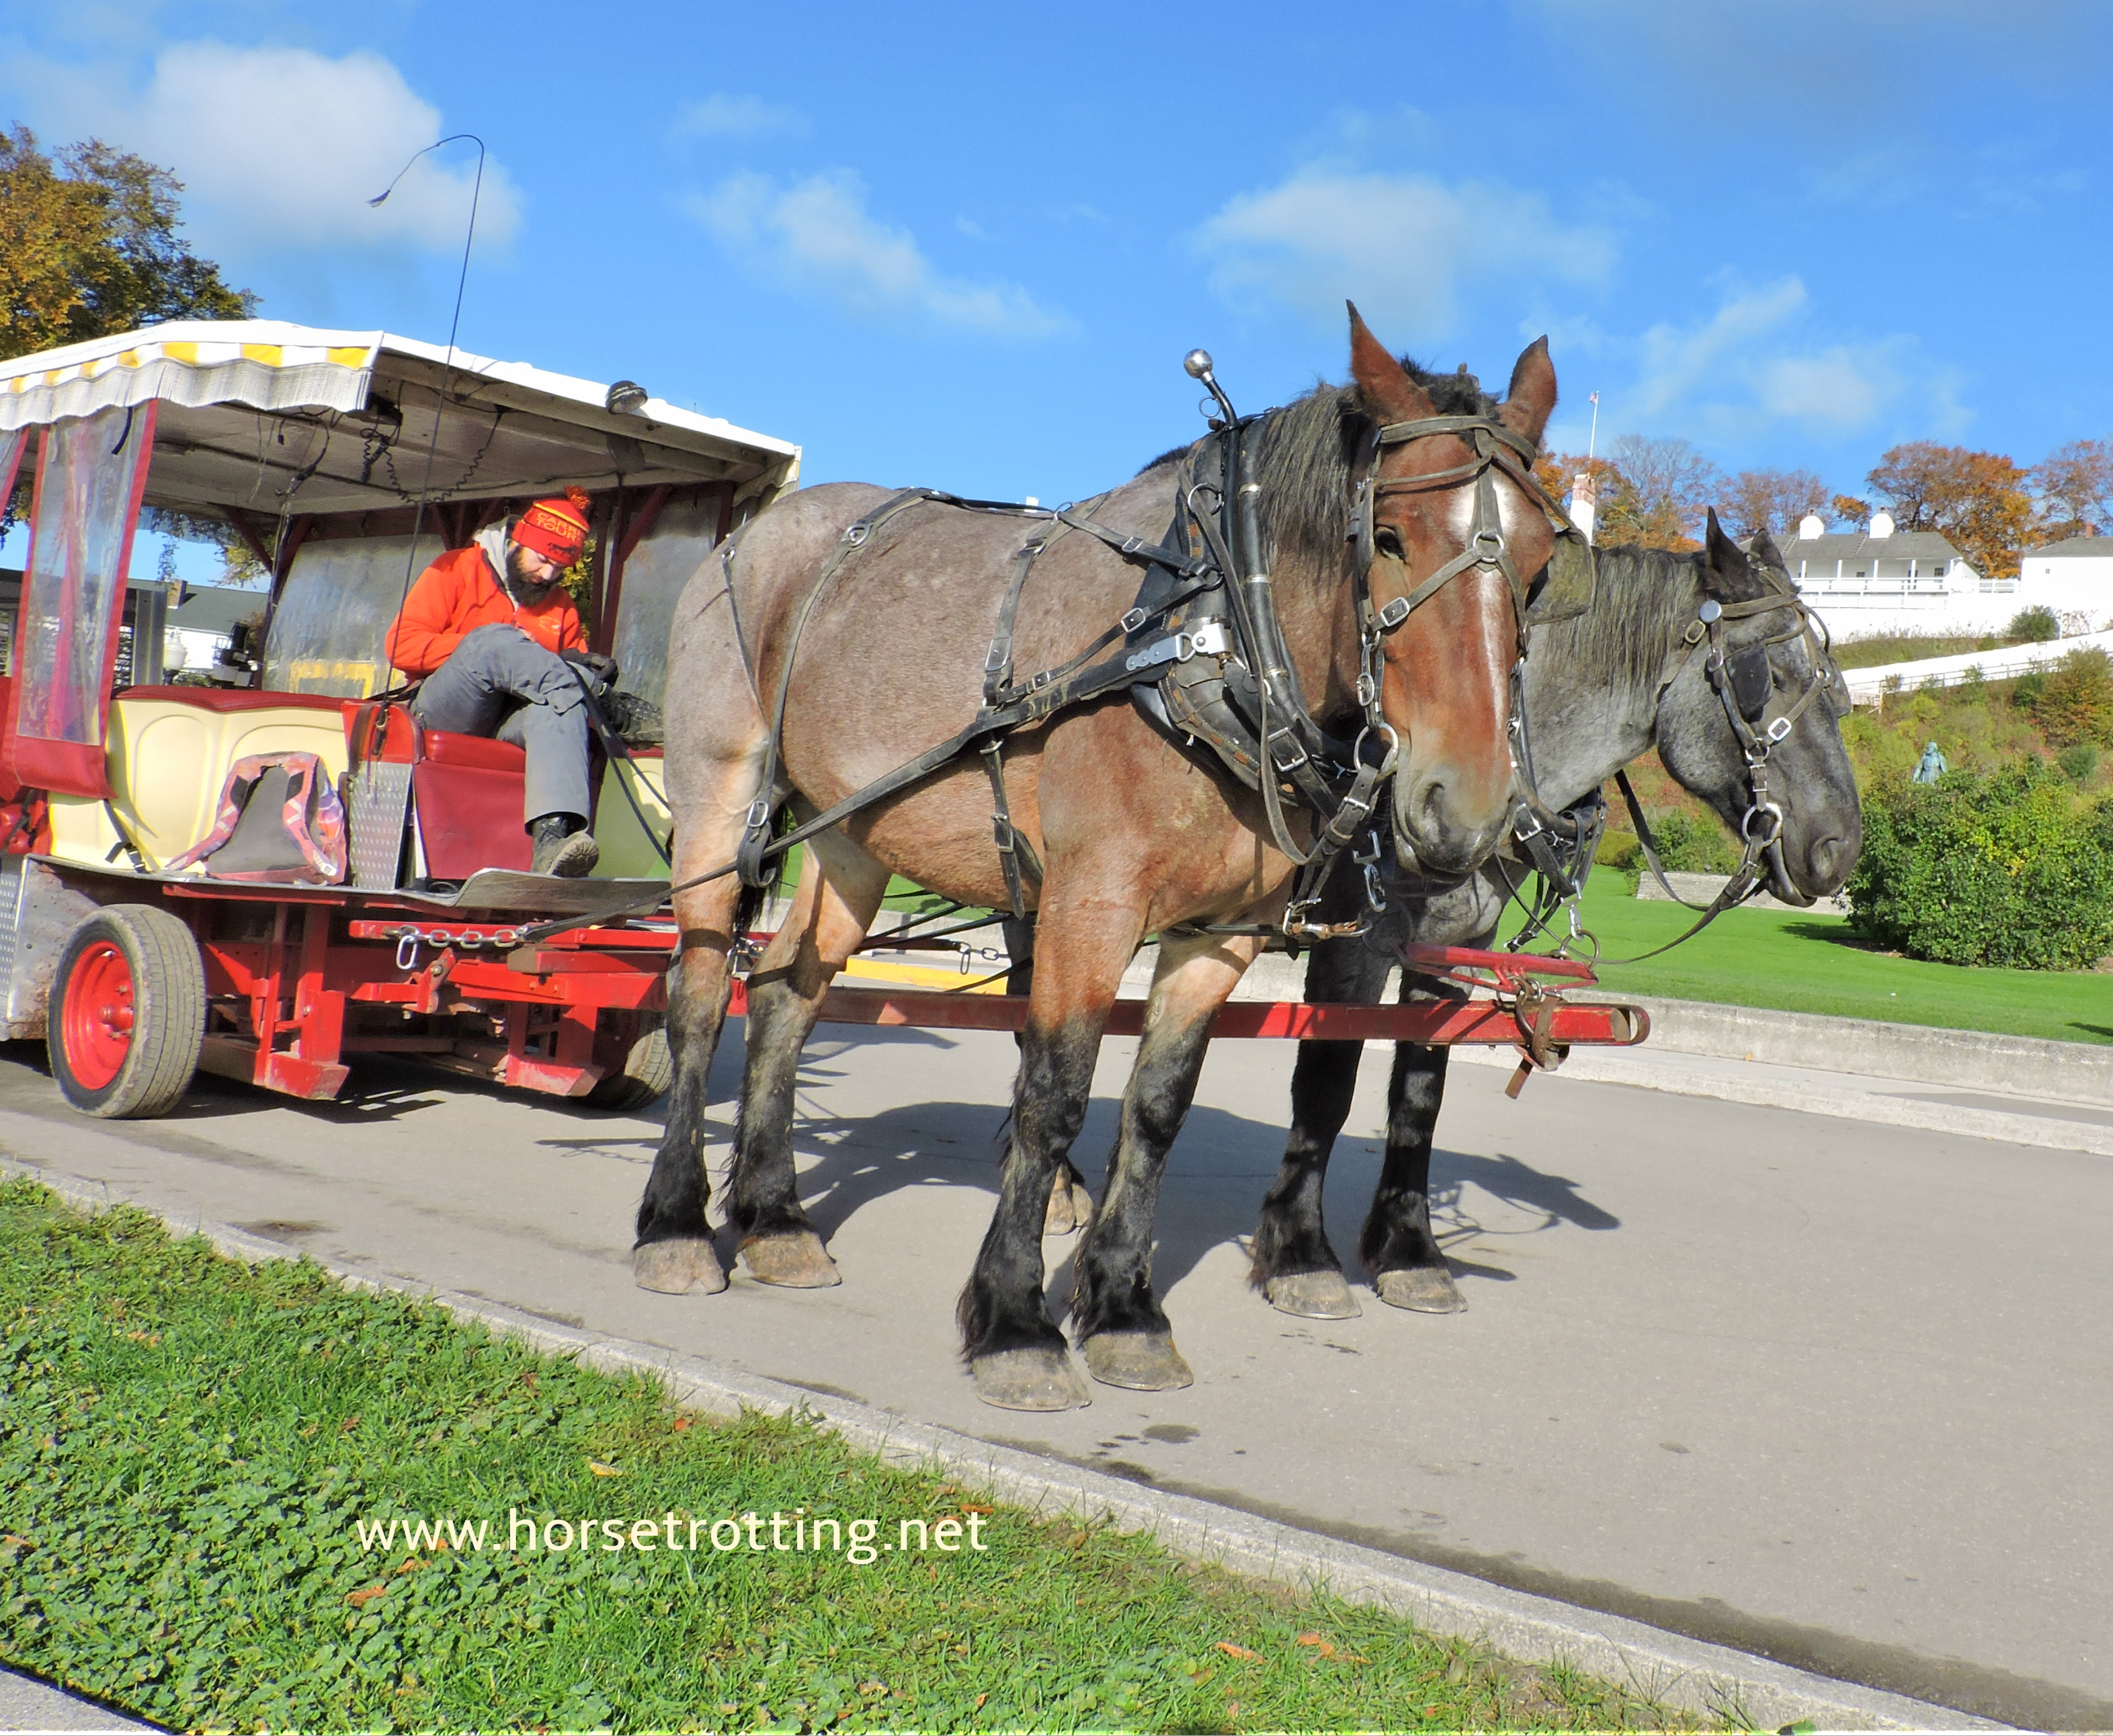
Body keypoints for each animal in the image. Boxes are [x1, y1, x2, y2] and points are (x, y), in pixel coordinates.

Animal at [637, 308, 1564, 1411]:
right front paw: (1016, 1318)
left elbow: (1160, 1109)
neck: (1209, 632)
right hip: (718, 797)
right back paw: (677, 1221)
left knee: (787, 992)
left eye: (1545, 565)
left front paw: (1124, 1305)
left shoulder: (1223, 933)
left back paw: (775, 1216)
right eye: (1388, 538)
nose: (1466, 805)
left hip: (849, 832)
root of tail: (755, 533)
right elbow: (1055, 1096)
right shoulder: (1091, 905)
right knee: (700, 993)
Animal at [1244, 512, 1864, 1320]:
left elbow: (1420, 1092)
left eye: (1836, 687)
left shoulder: (1453, 945)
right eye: (1773, 676)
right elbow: (1326, 1085)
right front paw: (1298, 1253)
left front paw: (1409, 1250)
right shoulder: (1352, 942)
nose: (1841, 847)